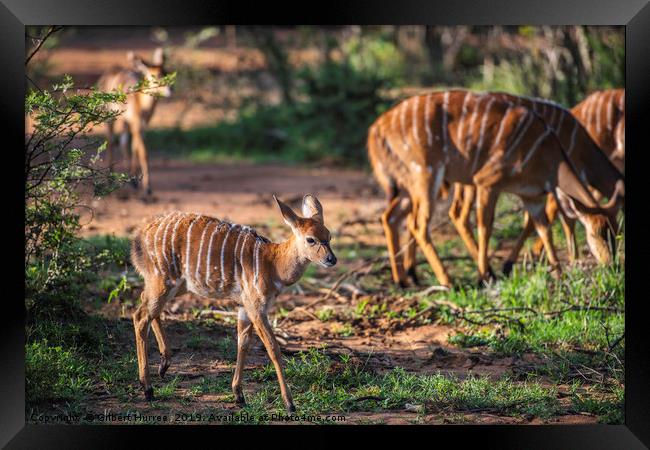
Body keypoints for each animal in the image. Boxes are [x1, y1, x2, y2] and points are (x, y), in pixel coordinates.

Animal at [96, 46, 171, 196]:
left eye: (166, 72)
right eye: (154, 75)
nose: (170, 90)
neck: (142, 105)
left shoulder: (143, 127)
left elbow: (135, 148)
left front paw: (135, 180)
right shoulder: (136, 125)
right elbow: (144, 153)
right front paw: (147, 188)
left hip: (125, 122)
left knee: (123, 142)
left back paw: (131, 181)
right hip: (110, 118)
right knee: (111, 141)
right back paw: (110, 180)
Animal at [130, 195, 336, 414]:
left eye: (329, 236)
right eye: (311, 239)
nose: (331, 259)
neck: (272, 262)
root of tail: (139, 236)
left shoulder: (244, 307)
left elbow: (242, 343)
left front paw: (239, 394)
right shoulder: (256, 307)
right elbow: (273, 348)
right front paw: (289, 403)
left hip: (177, 285)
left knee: (147, 305)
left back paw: (164, 364)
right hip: (163, 280)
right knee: (140, 316)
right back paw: (148, 388)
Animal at [442, 92, 620, 276]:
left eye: (617, 233)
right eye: (595, 235)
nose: (612, 266)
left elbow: (540, 221)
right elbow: (562, 218)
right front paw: (572, 260)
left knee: (457, 213)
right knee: (460, 214)